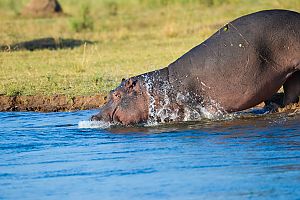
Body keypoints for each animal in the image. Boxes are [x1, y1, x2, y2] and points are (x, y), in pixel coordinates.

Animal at [91, 9, 300, 125]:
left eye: (117, 95)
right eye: (108, 93)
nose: (94, 117)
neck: (154, 89)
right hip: (292, 73)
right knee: (291, 91)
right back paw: (276, 107)